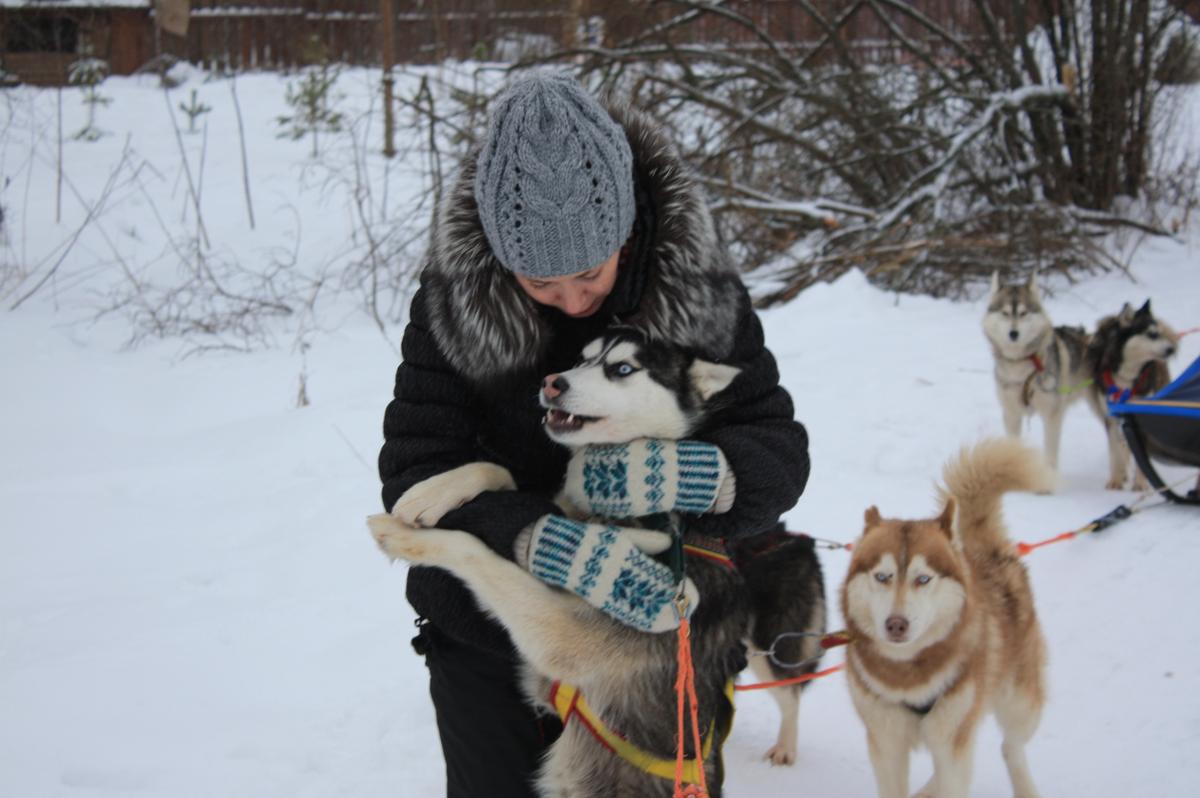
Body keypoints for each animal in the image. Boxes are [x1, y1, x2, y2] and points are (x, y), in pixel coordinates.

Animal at [841, 438, 1053, 798]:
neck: (908, 677)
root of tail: (985, 551)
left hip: (1020, 703)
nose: (896, 624)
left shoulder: (953, 738)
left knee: (1011, 747)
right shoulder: (886, 742)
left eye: (923, 578)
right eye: (882, 576)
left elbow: (956, 772)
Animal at [983, 271, 1091, 475]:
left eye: (1023, 313)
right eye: (1005, 313)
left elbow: (1050, 454)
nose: (1013, 334)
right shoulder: (1011, 413)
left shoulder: (1052, 415)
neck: (1020, 367)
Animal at [1083, 299, 1179, 490]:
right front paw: (1115, 481)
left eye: (1160, 333)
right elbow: (1115, 451)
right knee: (1122, 446)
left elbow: (1140, 458)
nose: (1171, 349)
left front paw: (1141, 484)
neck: (1127, 377)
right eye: (1152, 334)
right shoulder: (1111, 417)